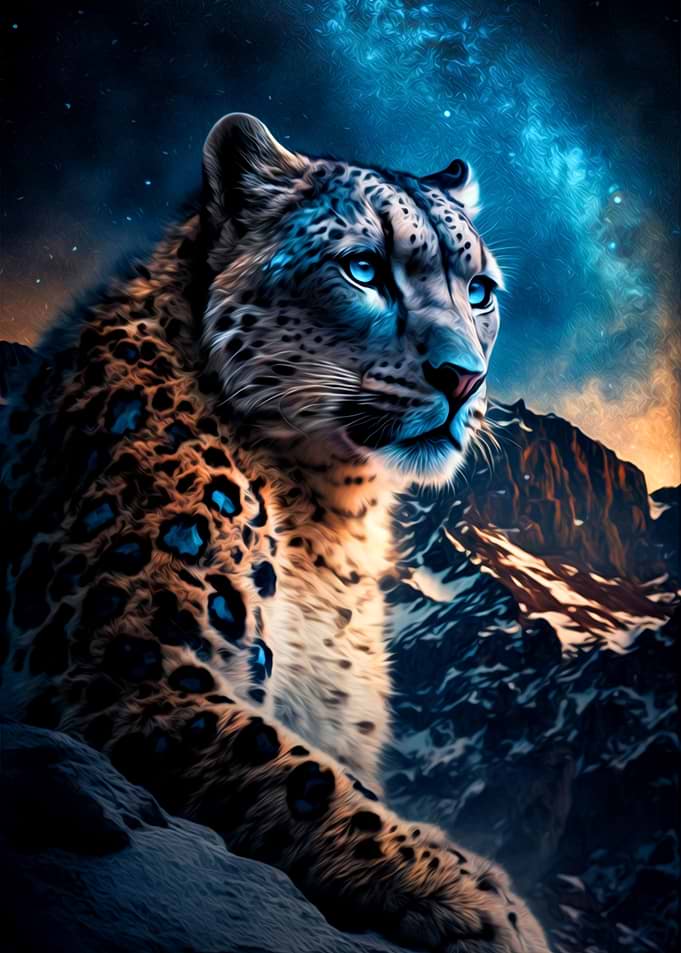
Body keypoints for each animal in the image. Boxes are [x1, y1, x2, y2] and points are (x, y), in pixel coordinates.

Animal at [0, 113, 549, 952]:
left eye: (479, 290)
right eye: (363, 268)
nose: (463, 377)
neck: (330, 511)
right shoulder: (121, 664)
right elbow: (298, 770)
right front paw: (482, 895)